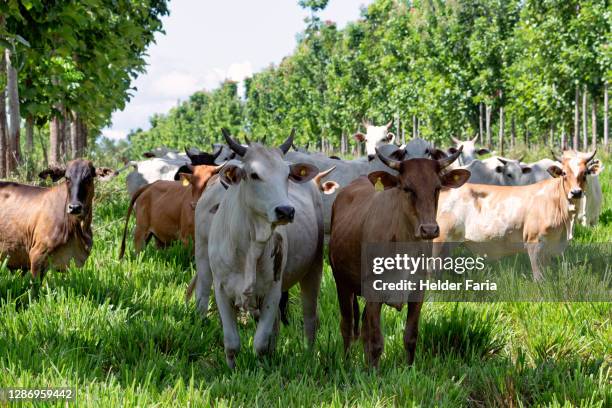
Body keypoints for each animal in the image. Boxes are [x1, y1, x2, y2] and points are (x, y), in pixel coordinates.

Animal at [330, 148, 468, 368]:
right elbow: (376, 341)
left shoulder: (418, 291)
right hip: (341, 282)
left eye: (437, 188)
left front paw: (408, 369)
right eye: (407, 188)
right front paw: (374, 373)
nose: (429, 229)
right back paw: (346, 362)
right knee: (347, 325)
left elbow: (410, 337)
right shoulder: (373, 291)